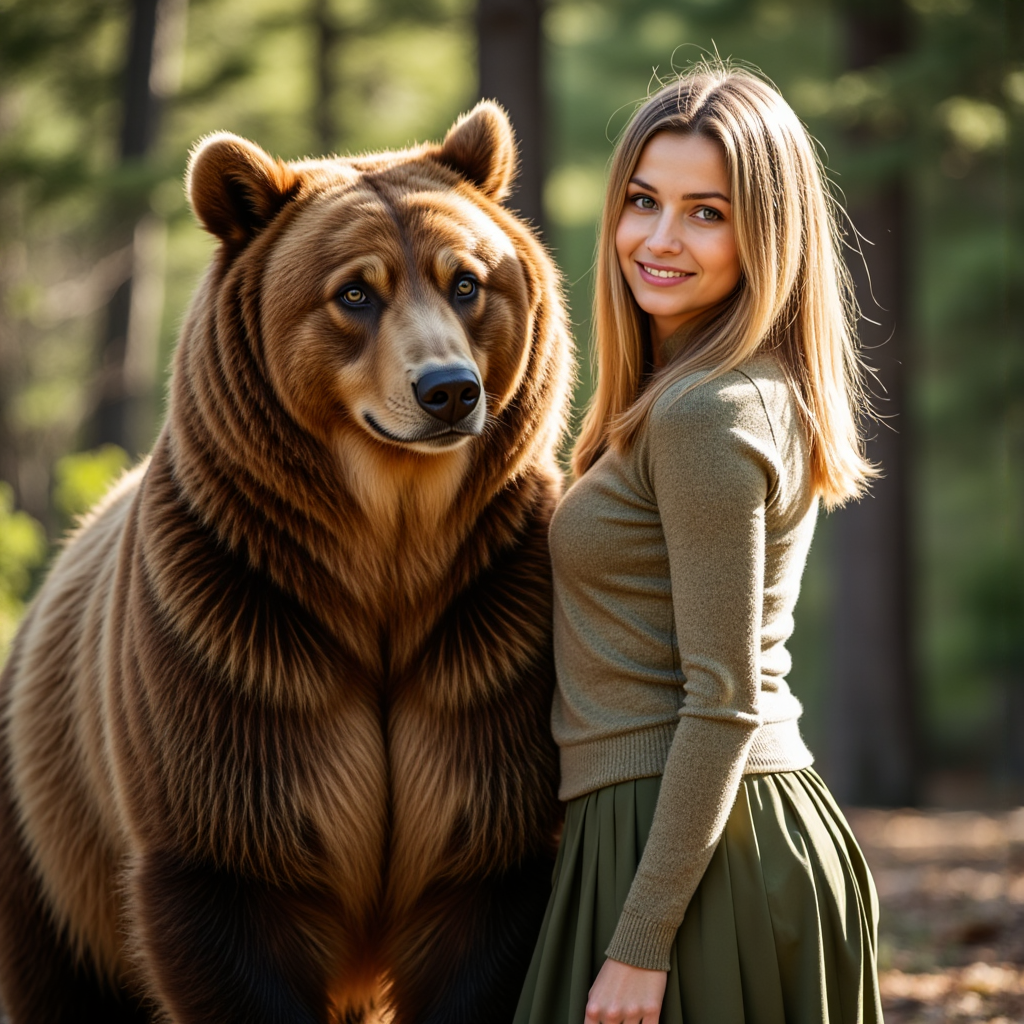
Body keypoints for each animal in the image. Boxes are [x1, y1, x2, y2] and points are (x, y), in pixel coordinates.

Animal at [0, 102, 573, 1024]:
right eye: (355, 291)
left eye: (466, 280)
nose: (448, 389)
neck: (387, 547)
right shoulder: (242, 647)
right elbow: (232, 890)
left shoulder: (486, 640)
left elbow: (483, 891)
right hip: (52, 841)